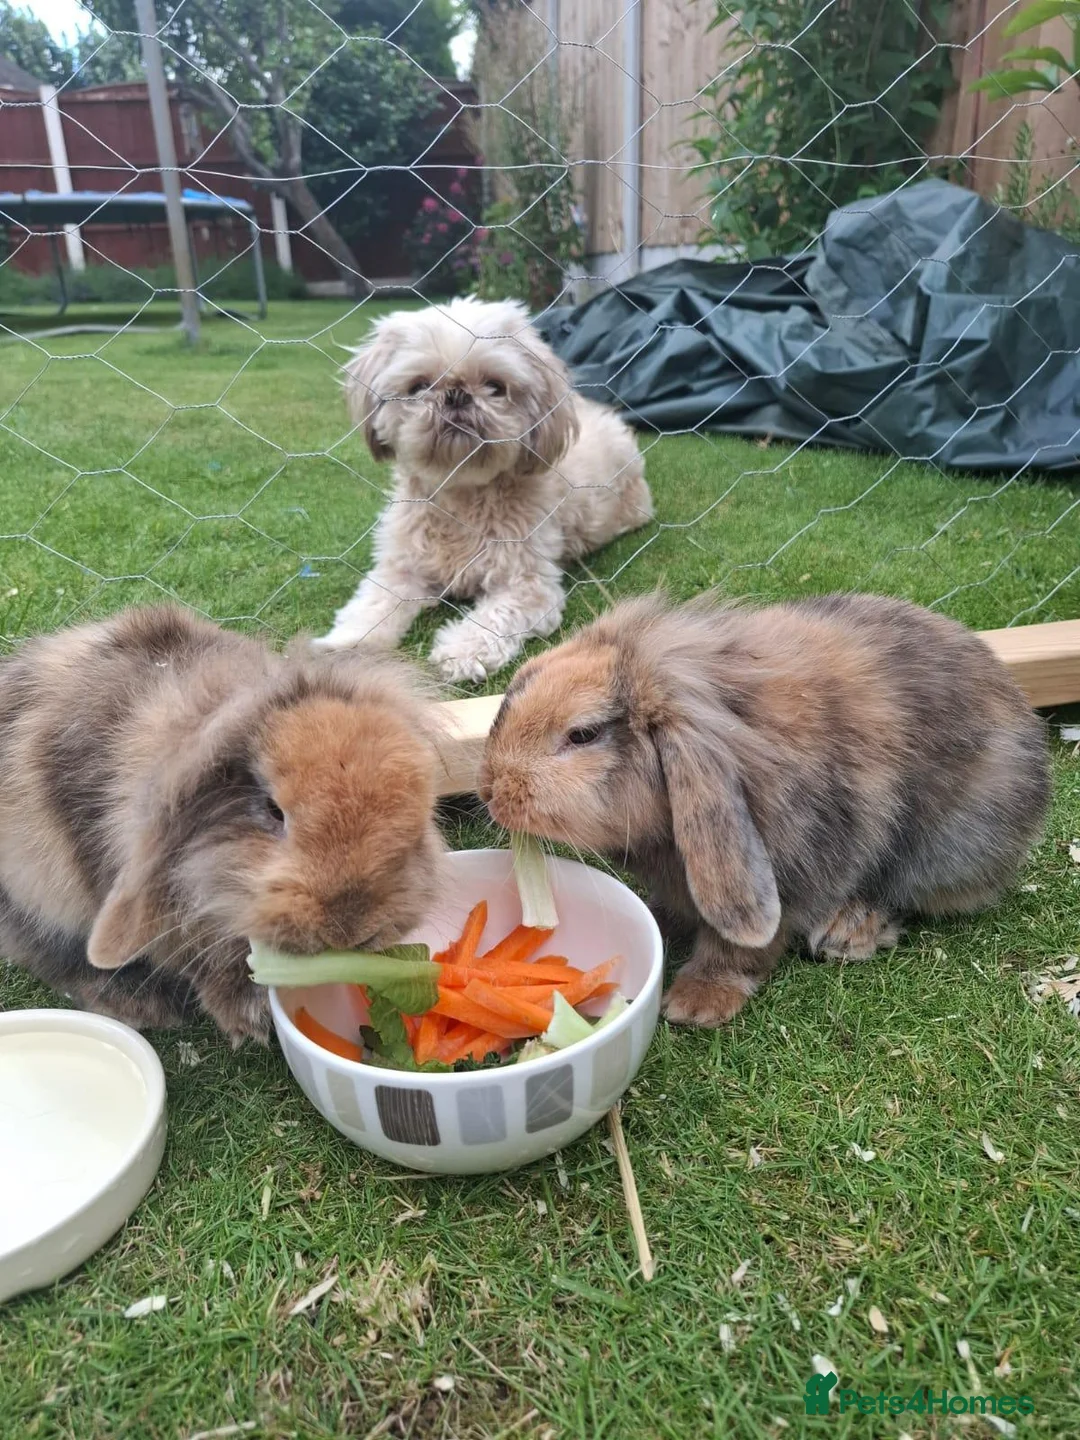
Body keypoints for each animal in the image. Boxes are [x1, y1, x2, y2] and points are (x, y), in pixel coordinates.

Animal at [0, 605, 447, 1044]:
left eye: (415, 820)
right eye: (273, 810)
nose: (349, 928)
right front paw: (250, 1017)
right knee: (55, 957)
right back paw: (141, 1007)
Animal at [478, 592, 1050, 1027]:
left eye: (583, 734)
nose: (489, 787)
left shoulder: (792, 869)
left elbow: (743, 945)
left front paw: (696, 1003)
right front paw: (660, 925)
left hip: (945, 847)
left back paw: (849, 932)